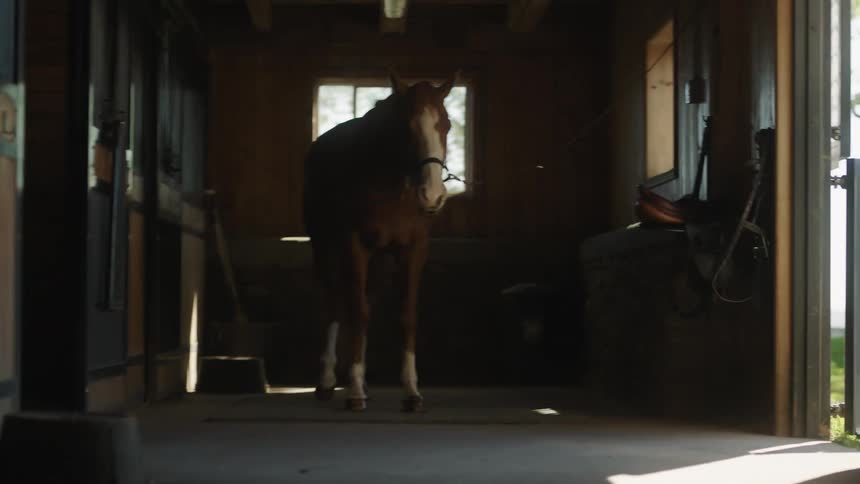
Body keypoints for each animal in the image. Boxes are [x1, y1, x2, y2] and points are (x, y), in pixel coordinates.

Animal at [303, 71, 458, 412]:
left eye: (446, 125)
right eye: (407, 127)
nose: (432, 195)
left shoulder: (413, 250)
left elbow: (405, 315)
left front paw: (411, 392)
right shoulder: (354, 246)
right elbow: (356, 312)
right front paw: (354, 394)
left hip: (380, 262)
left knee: (362, 302)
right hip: (324, 247)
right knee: (334, 304)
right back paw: (328, 382)